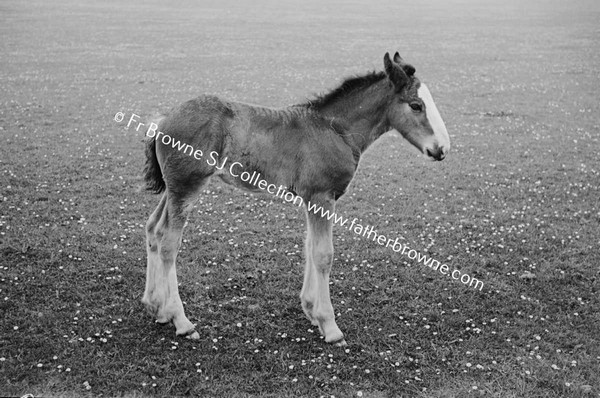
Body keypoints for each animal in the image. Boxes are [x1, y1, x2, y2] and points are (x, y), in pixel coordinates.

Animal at [142, 52, 450, 346]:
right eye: (416, 105)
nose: (442, 149)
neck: (336, 130)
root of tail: (164, 120)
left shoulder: (312, 200)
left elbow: (310, 248)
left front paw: (312, 311)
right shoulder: (322, 197)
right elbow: (323, 255)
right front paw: (330, 326)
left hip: (173, 190)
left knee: (153, 230)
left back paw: (157, 307)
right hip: (186, 187)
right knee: (169, 244)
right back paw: (181, 320)